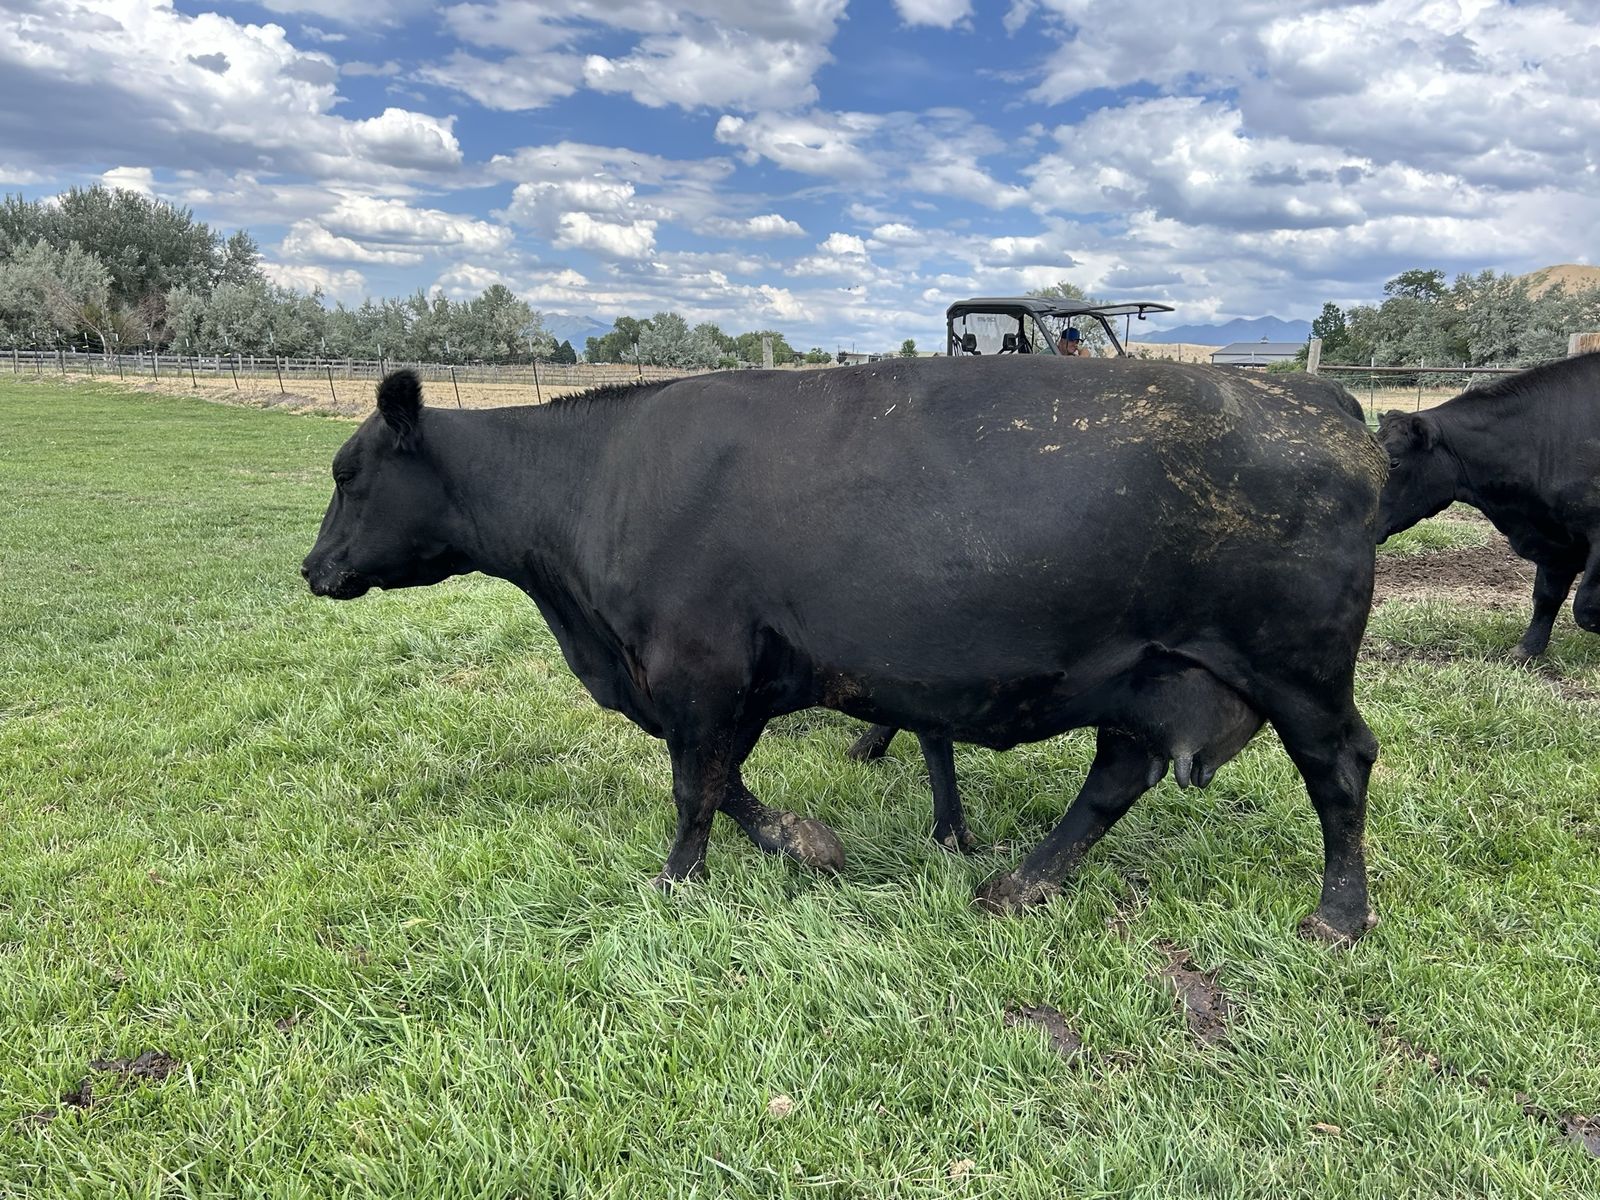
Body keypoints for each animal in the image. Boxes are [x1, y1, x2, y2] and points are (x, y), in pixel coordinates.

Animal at [302, 358, 1387, 942]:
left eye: (348, 473)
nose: (312, 567)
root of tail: (1320, 399)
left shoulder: (698, 666)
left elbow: (693, 784)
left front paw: (674, 882)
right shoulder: (731, 675)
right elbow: (725, 778)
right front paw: (799, 840)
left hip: (1297, 667)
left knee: (1339, 768)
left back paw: (1338, 916)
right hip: (1146, 669)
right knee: (1117, 776)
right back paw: (1019, 883)